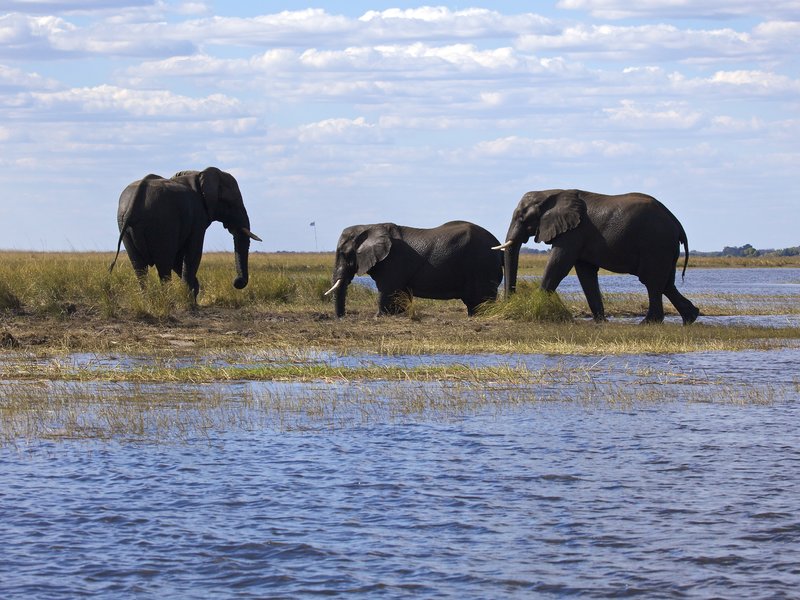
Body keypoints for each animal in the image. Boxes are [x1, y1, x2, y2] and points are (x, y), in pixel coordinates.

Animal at [109, 167, 261, 298]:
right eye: (231, 203)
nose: (236, 282)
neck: (200, 175)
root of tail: (134, 203)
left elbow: (179, 259)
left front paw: (192, 293)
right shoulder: (198, 217)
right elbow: (193, 253)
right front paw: (189, 299)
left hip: (125, 226)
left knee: (139, 267)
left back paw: (148, 300)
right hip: (162, 224)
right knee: (164, 264)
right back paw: (167, 301)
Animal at [325, 221, 503, 317]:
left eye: (344, 254)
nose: (342, 317)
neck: (370, 226)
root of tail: (498, 243)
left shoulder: (392, 261)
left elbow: (386, 290)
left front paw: (378, 317)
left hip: (482, 265)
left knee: (480, 301)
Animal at [494, 189, 700, 324]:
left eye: (522, 218)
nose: (508, 304)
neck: (551, 193)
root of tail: (676, 223)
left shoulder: (573, 232)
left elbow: (558, 264)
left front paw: (533, 308)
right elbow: (586, 273)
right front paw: (600, 321)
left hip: (656, 243)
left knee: (652, 281)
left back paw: (648, 323)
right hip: (665, 248)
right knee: (666, 283)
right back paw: (690, 317)